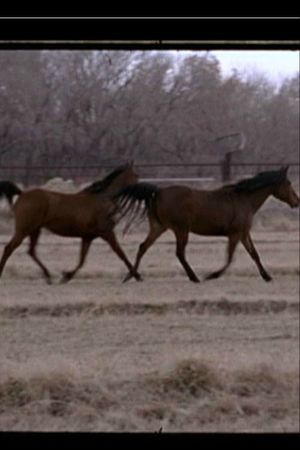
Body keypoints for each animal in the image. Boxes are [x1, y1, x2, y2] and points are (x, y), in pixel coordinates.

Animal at [0, 163, 141, 284]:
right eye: (136, 175)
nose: (141, 192)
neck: (101, 200)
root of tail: (22, 194)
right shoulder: (107, 233)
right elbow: (120, 253)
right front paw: (135, 275)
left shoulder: (87, 237)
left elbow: (82, 260)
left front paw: (66, 276)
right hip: (23, 230)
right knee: (9, 248)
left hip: (34, 230)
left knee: (31, 251)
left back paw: (48, 276)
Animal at [114, 167, 298, 284]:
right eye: (288, 183)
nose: (297, 201)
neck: (244, 199)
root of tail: (158, 191)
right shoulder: (235, 234)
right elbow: (230, 257)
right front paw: (212, 275)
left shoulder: (244, 233)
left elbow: (254, 254)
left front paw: (267, 276)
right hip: (181, 229)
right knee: (179, 253)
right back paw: (194, 277)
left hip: (159, 227)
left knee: (143, 247)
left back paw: (132, 276)